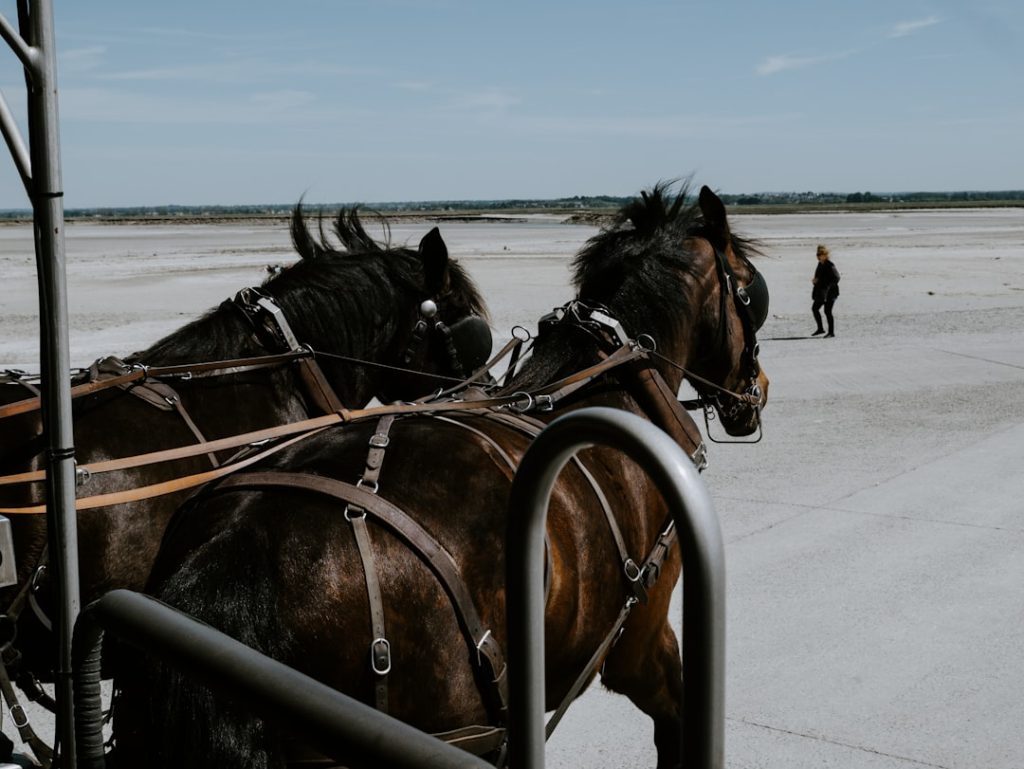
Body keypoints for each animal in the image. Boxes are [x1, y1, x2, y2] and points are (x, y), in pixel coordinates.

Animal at [112, 182, 770, 769]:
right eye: (749, 291)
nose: (756, 389)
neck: (608, 387)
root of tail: (237, 545)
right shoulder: (642, 641)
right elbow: (675, 725)